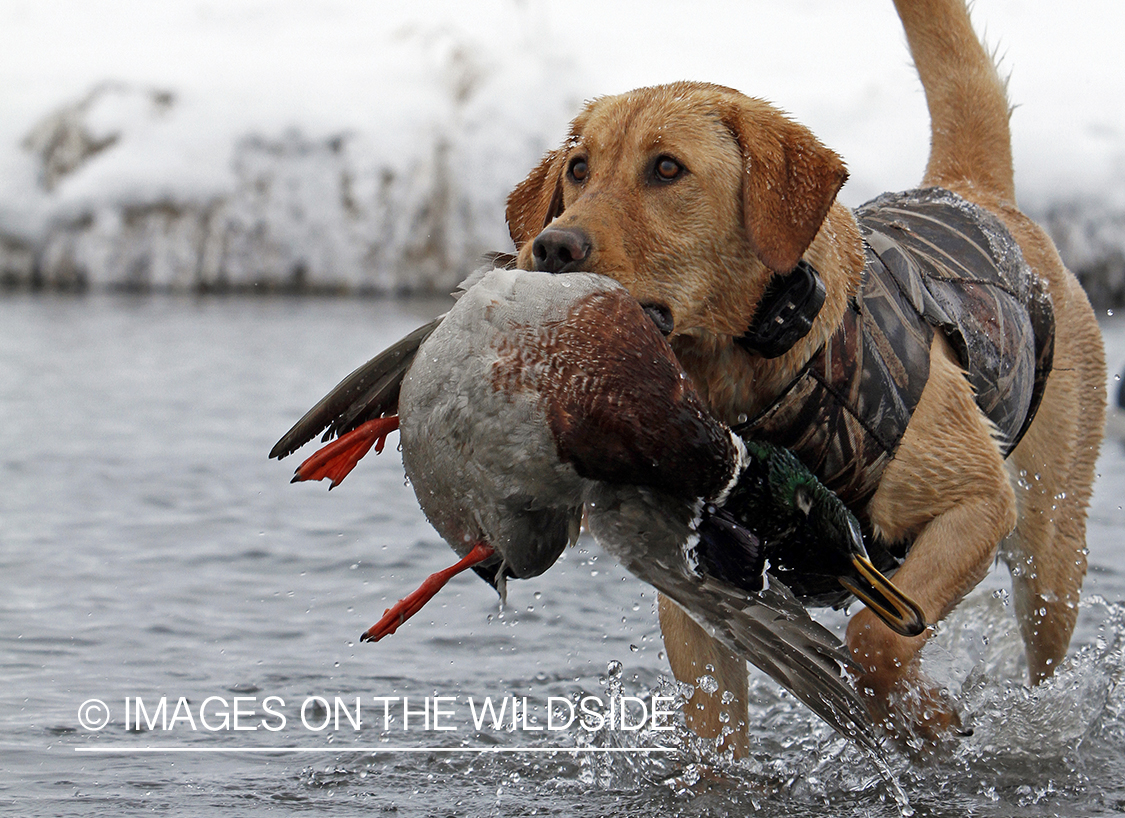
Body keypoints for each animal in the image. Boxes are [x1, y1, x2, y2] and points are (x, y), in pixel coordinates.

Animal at [506, 0, 1102, 756]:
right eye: (579, 169)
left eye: (666, 168)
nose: (551, 246)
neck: (756, 377)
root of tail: (969, 190)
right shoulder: (697, 595)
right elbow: (717, 735)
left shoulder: (978, 504)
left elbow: (876, 638)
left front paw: (923, 711)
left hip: (1050, 551)